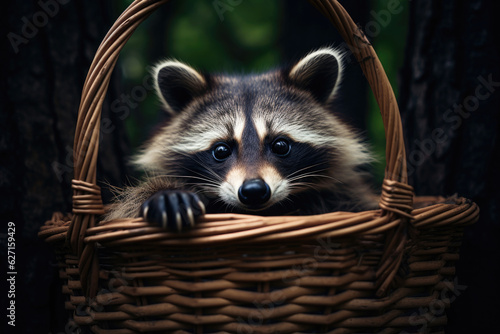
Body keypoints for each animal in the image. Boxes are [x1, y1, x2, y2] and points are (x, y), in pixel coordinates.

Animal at [106, 47, 378, 230]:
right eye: (221, 150)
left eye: (280, 145)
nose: (254, 191)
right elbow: (124, 210)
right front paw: (164, 194)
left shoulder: (344, 193)